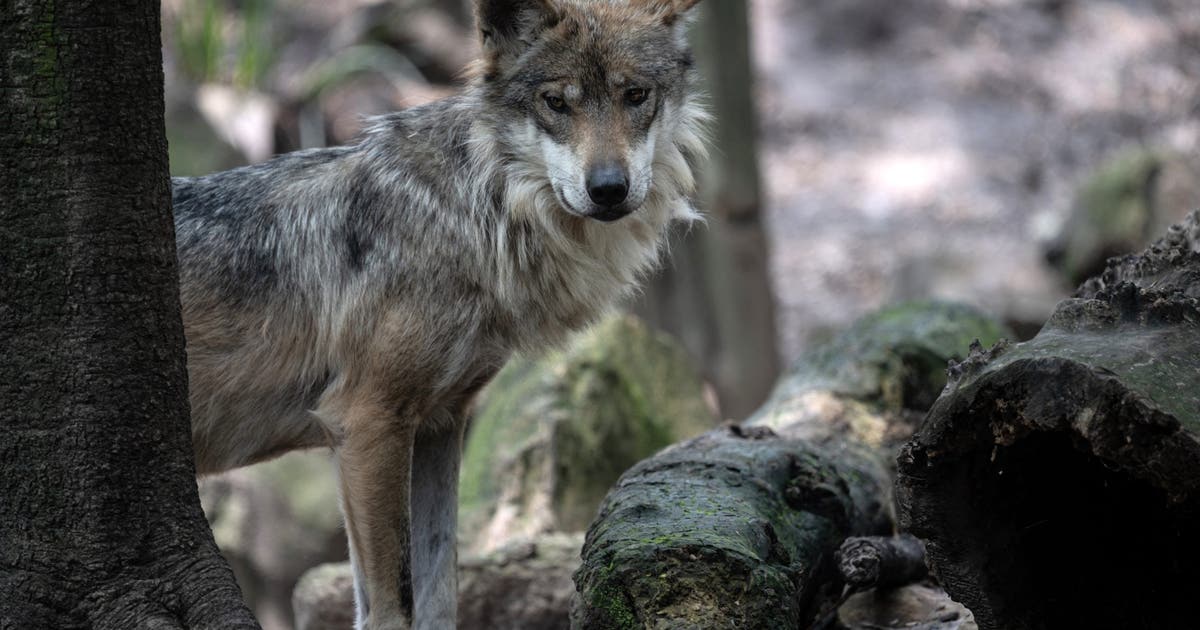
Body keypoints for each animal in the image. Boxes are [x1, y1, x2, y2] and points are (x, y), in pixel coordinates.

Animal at [172, 0, 707, 628]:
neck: (474, 209)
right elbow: (391, 607)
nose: (608, 189)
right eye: (556, 102)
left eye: (635, 95)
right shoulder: (367, 422)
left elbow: (440, 588)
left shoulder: (440, 422)